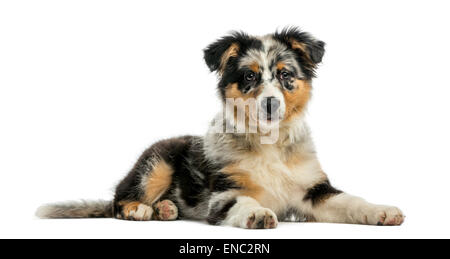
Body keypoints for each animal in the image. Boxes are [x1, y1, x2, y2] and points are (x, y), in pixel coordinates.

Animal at [37, 27, 406, 229]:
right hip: (155, 164)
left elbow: (351, 201)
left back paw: (166, 208)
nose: (270, 104)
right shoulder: (224, 194)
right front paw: (257, 214)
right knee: (118, 199)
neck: (269, 144)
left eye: (286, 75)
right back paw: (142, 209)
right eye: (249, 76)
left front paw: (382, 211)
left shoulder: (314, 191)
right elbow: (244, 203)